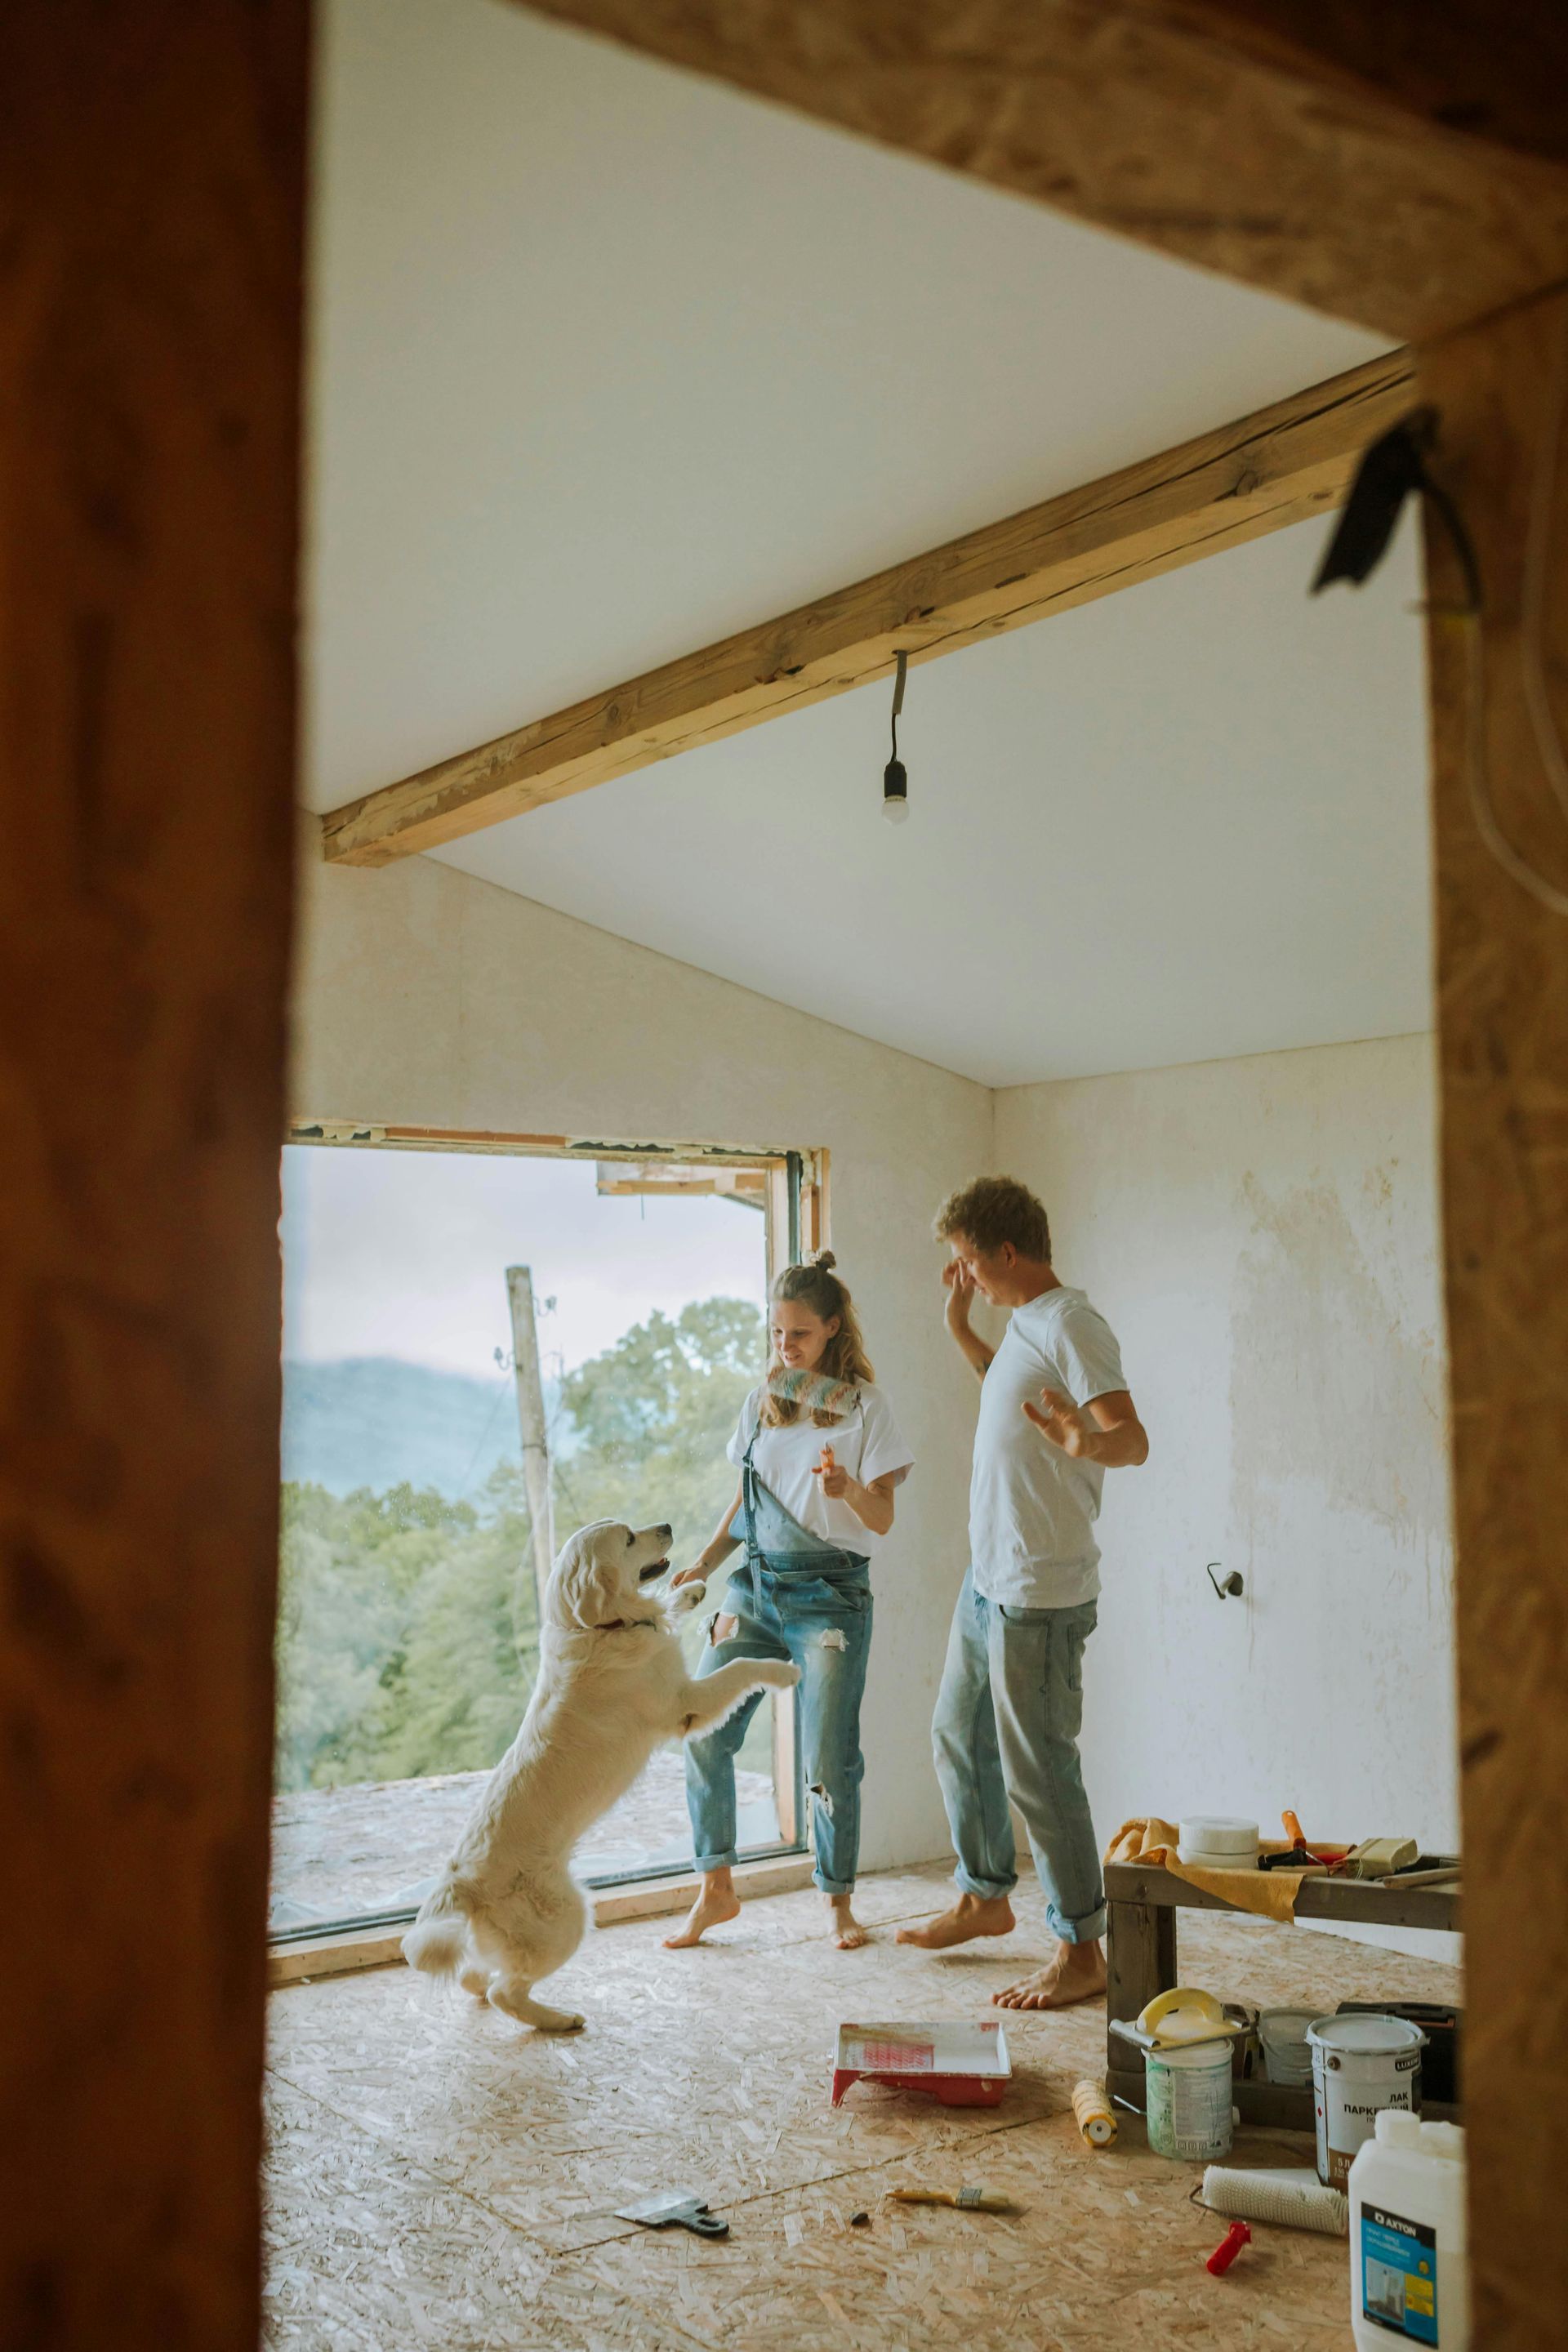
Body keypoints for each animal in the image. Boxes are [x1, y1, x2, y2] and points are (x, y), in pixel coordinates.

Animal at [404, 1514, 799, 2032]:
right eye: (628, 1538)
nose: (666, 1524)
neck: (596, 1626)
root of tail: (459, 1884)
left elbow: (666, 1606)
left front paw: (690, 1590)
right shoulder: (685, 1702)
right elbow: (739, 1667)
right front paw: (782, 1672)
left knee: (475, 1977)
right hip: (568, 1918)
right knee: (502, 1991)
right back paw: (558, 2020)